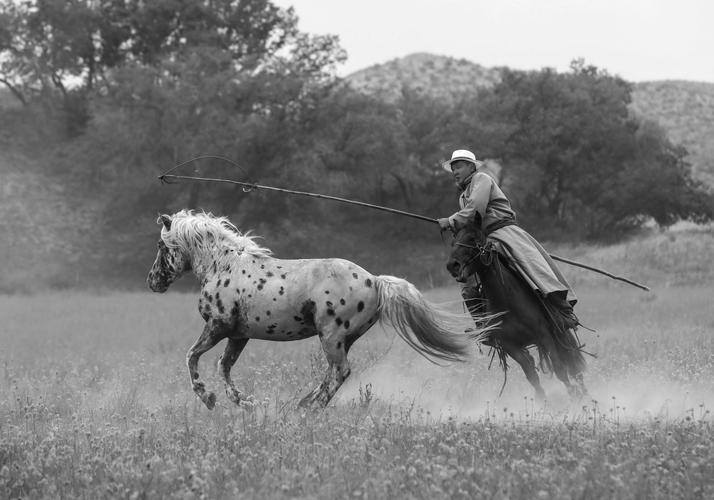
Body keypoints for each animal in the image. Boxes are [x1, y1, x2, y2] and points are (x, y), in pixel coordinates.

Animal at [145, 209, 484, 408]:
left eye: (162, 246)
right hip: (344, 338)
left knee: (340, 372)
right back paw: (304, 402)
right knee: (335, 372)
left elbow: (192, 357)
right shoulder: (239, 335)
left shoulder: (217, 327)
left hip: (331, 336)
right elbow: (223, 366)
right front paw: (243, 401)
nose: (152, 282)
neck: (223, 266)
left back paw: (310, 407)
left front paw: (208, 397)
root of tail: (375, 280)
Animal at [442, 217, 588, 400]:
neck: (507, 300)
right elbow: (532, 378)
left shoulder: (544, 336)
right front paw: (544, 404)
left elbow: (560, 370)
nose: (452, 265)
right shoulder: (511, 346)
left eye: (472, 238)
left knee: (573, 363)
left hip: (559, 332)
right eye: (453, 242)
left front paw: (574, 399)